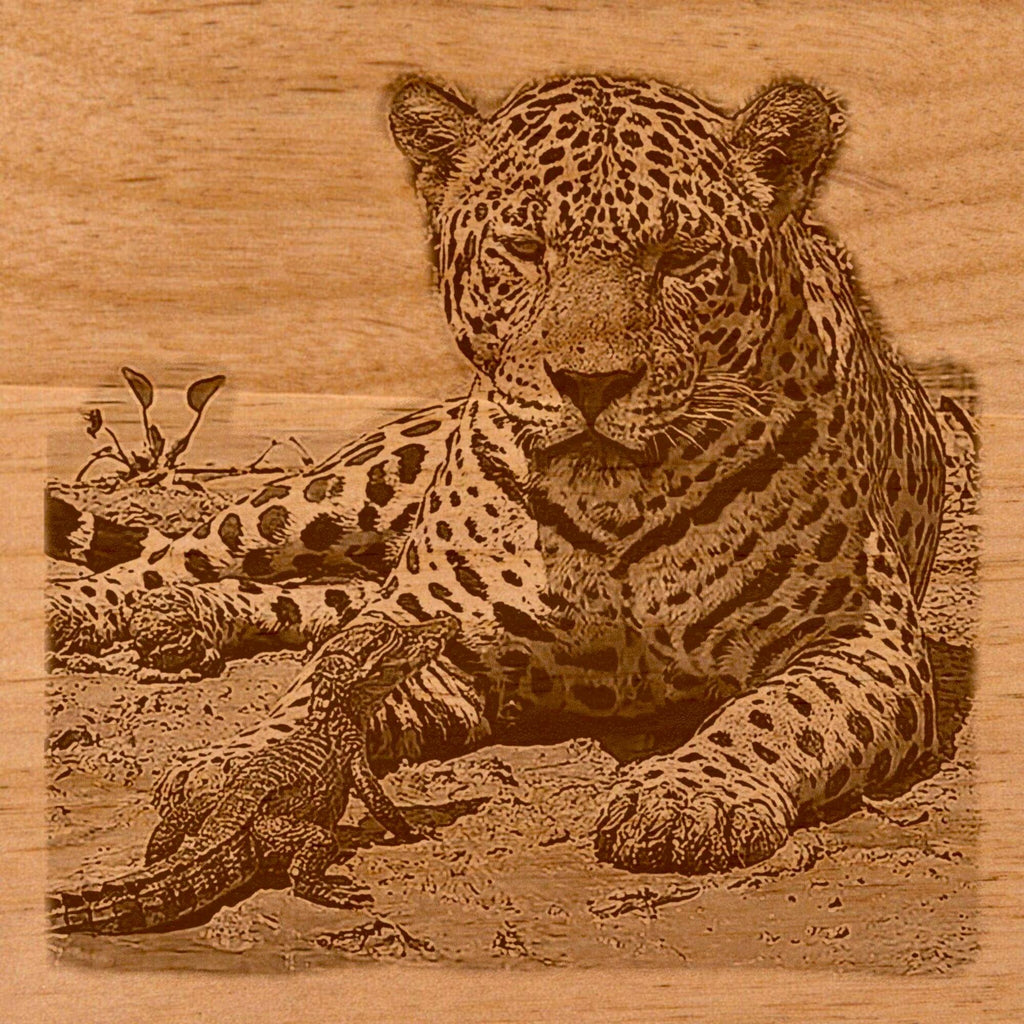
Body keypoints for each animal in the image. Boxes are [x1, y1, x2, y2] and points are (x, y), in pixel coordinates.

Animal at [47, 73, 951, 875]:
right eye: (525, 250)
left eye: (680, 256)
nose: (593, 382)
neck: (615, 499)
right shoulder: (431, 631)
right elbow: (319, 690)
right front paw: (245, 765)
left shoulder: (861, 639)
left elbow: (774, 713)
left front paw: (688, 796)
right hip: (355, 484)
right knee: (194, 550)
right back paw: (94, 608)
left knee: (319, 598)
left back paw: (182, 620)